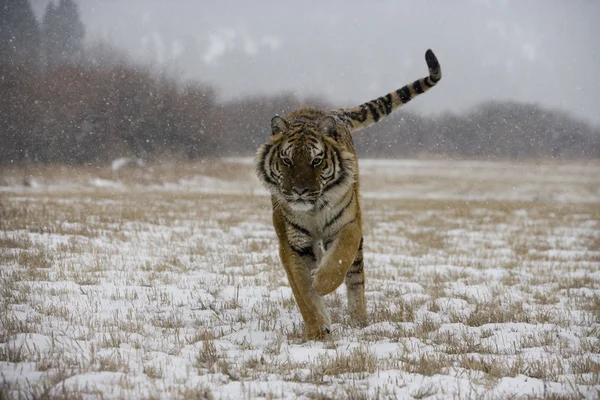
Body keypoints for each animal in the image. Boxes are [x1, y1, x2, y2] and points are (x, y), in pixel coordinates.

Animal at [253, 48, 440, 340]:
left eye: (316, 160)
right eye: (287, 160)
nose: (299, 191)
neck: (313, 209)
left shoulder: (350, 223)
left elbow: (338, 261)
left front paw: (321, 282)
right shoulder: (292, 243)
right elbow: (303, 292)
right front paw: (318, 331)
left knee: (356, 278)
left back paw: (359, 320)